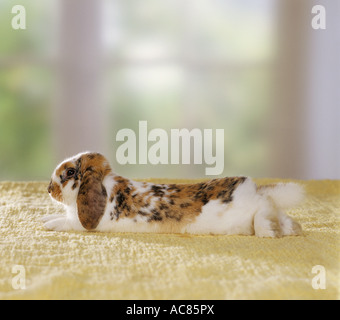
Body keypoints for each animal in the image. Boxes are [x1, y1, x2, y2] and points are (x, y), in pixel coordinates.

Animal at [41, 151, 304, 236]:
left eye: (70, 172)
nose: (49, 189)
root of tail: (253, 190)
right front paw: (44, 218)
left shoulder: (80, 223)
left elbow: (65, 223)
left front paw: (49, 225)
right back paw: (289, 228)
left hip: (251, 209)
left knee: (264, 209)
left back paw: (268, 231)